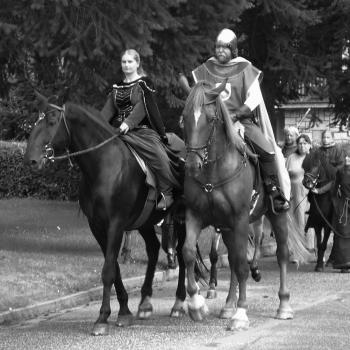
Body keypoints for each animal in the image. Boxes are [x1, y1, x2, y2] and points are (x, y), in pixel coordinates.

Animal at [23, 91, 189, 334]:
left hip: (181, 218)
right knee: (153, 249)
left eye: (52, 121)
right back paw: (145, 304)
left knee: (184, 254)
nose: (31, 160)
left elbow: (108, 270)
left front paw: (102, 318)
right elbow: (115, 268)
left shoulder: (116, 224)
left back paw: (179, 302)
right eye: (36, 121)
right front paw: (124, 311)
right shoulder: (97, 226)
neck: (103, 164)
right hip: (145, 222)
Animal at [180, 80, 298, 330]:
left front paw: (241, 314)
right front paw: (196, 305)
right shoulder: (195, 216)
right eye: (184, 117)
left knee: (281, 254)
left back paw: (283, 306)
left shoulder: (241, 219)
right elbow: (188, 252)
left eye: (210, 118)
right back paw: (227, 306)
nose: (193, 165)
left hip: (277, 216)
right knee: (233, 260)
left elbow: (243, 265)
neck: (213, 172)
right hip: (227, 229)